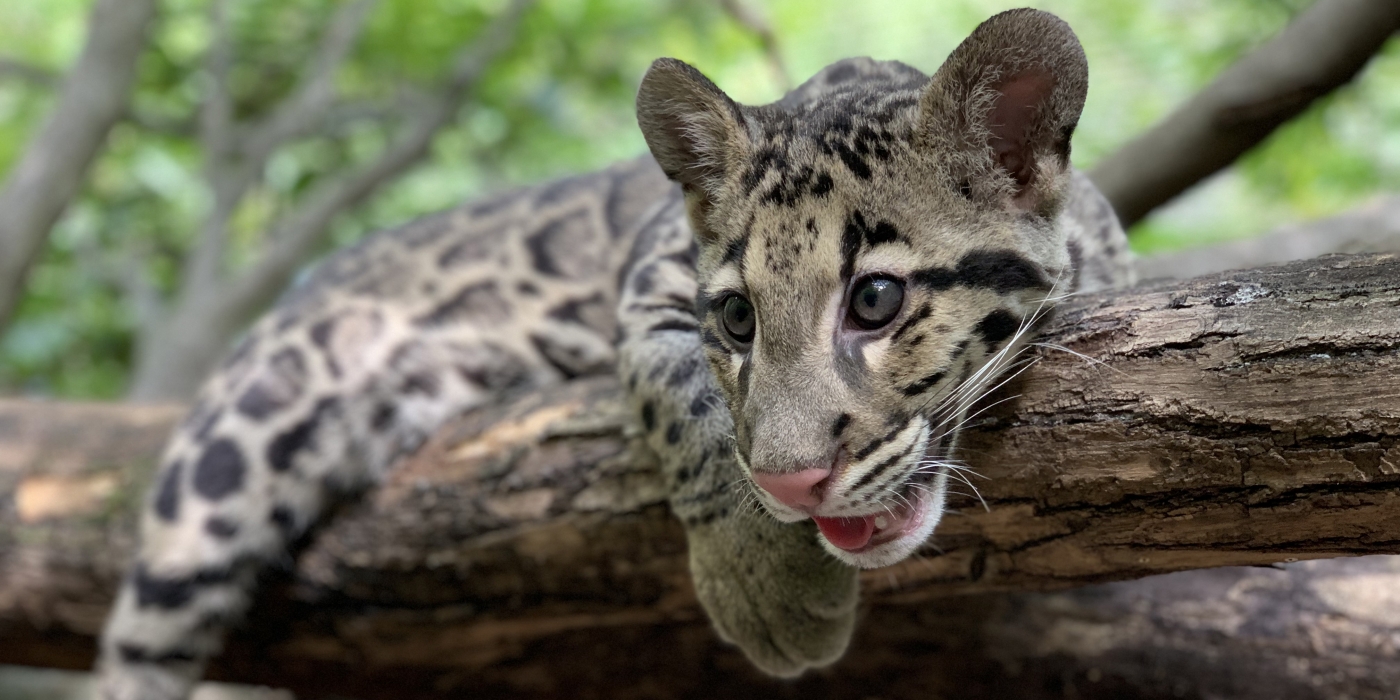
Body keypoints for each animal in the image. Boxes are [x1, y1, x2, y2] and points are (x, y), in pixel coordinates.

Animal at [95, 8, 1125, 697]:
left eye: (875, 301)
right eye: (737, 320)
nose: (792, 485)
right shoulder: (650, 274)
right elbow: (682, 397)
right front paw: (762, 579)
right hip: (230, 460)